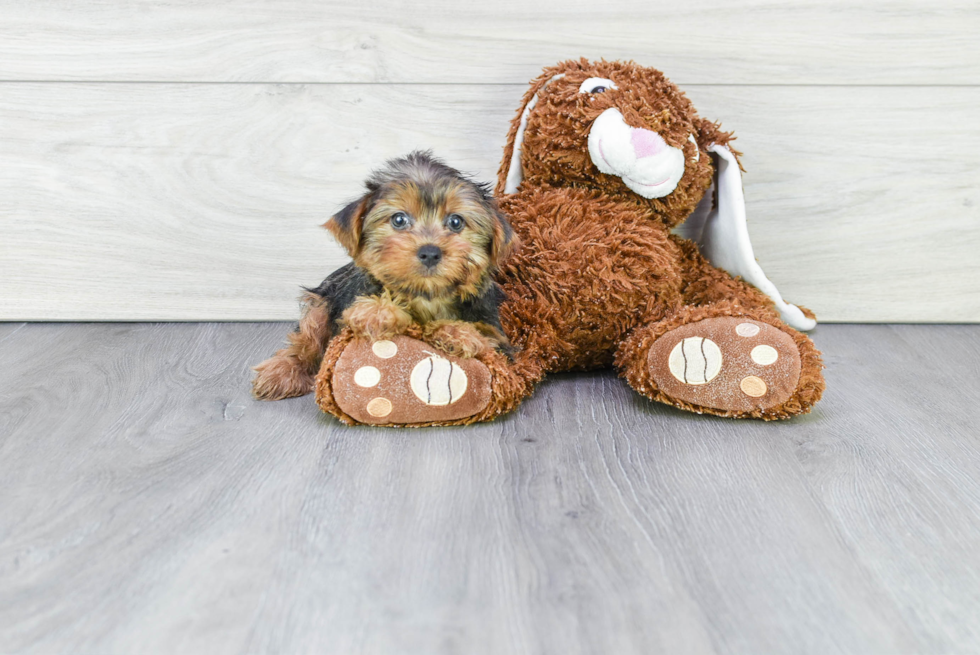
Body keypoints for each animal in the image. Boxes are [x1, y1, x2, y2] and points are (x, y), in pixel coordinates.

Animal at [249, 151, 516, 402]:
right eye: (399, 219)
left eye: (456, 222)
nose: (430, 252)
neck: (425, 297)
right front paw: (378, 312)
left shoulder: (497, 334)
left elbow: (486, 336)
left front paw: (458, 333)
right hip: (322, 300)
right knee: (307, 339)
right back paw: (282, 372)